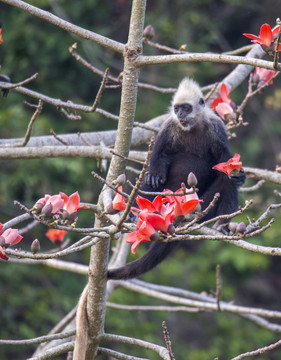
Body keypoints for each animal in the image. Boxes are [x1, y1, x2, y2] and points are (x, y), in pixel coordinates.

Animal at [106, 78, 244, 282]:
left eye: (186, 108)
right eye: (178, 108)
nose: (180, 114)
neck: (192, 128)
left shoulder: (217, 127)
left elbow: (225, 162)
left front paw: (239, 175)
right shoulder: (169, 126)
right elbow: (158, 156)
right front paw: (155, 173)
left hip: (201, 204)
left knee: (227, 181)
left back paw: (222, 226)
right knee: (149, 185)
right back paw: (135, 213)